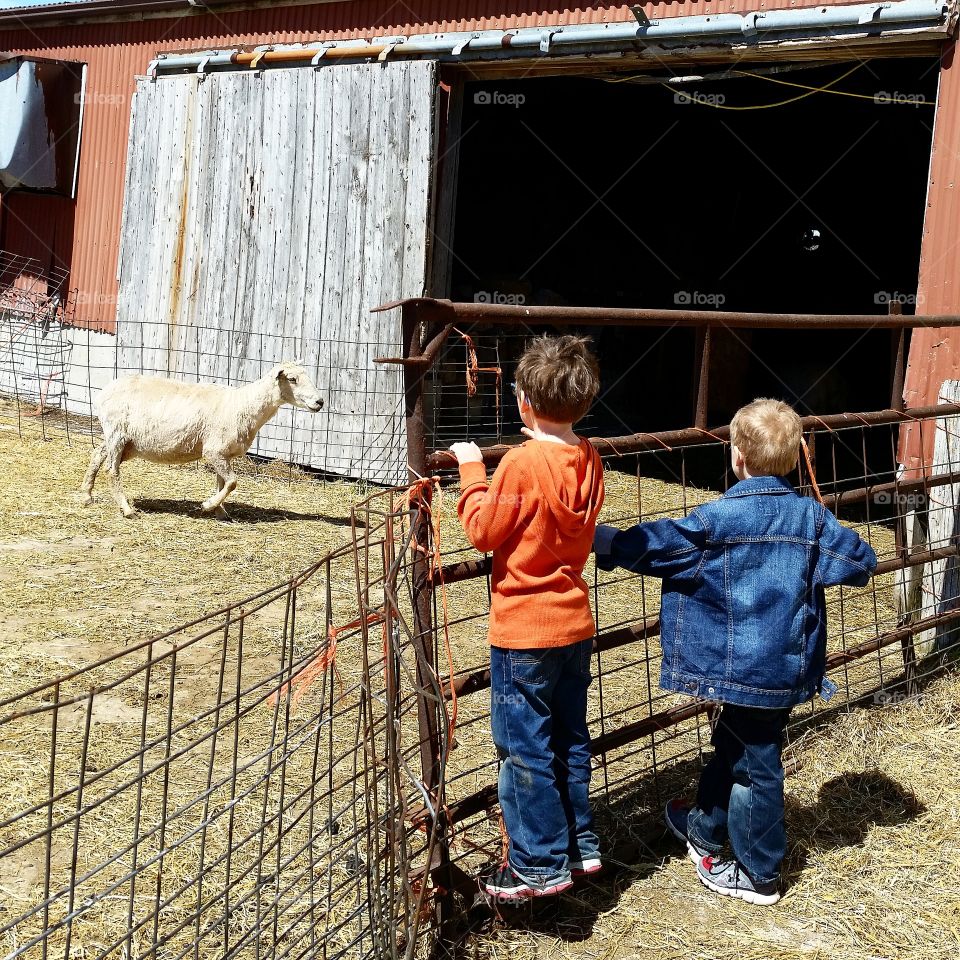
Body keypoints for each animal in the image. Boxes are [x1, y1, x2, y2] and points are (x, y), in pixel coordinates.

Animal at [80, 364, 326, 520]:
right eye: (292, 379)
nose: (320, 402)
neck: (242, 404)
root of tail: (104, 392)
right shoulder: (213, 450)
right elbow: (233, 482)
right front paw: (207, 505)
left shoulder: (224, 453)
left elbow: (222, 483)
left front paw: (220, 512)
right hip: (117, 432)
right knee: (112, 471)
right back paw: (127, 509)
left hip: (125, 441)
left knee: (97, 454)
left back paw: (86, 496)